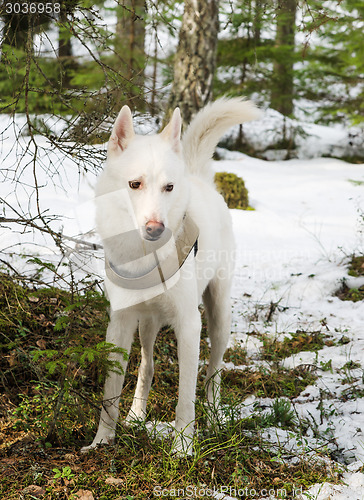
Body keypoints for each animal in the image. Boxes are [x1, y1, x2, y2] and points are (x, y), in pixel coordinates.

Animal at [82, 96, 258, 454]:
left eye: (169, 187)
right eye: (134, 184)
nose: (156, 228)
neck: (145, 257)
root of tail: (198, 176)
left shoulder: (189, 325)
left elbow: (185, 397)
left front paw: (183, 448)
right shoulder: (119, 324)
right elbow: (110, 392)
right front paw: (102, 441)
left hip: (219, 316)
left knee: (214, 372)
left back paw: (214, 416)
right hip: (147, 324)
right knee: (147, 365)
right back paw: (137, 415)